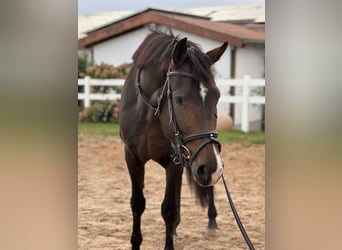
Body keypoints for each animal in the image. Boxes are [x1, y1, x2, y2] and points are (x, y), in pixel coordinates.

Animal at [119, 32, 228, 249]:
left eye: (217, 97)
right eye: (179, 99)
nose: (210, 169)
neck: (151, 113)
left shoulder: (175, 161)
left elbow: (169, 209)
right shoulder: (132, 157)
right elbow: (138, 203)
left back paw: (211, 221)